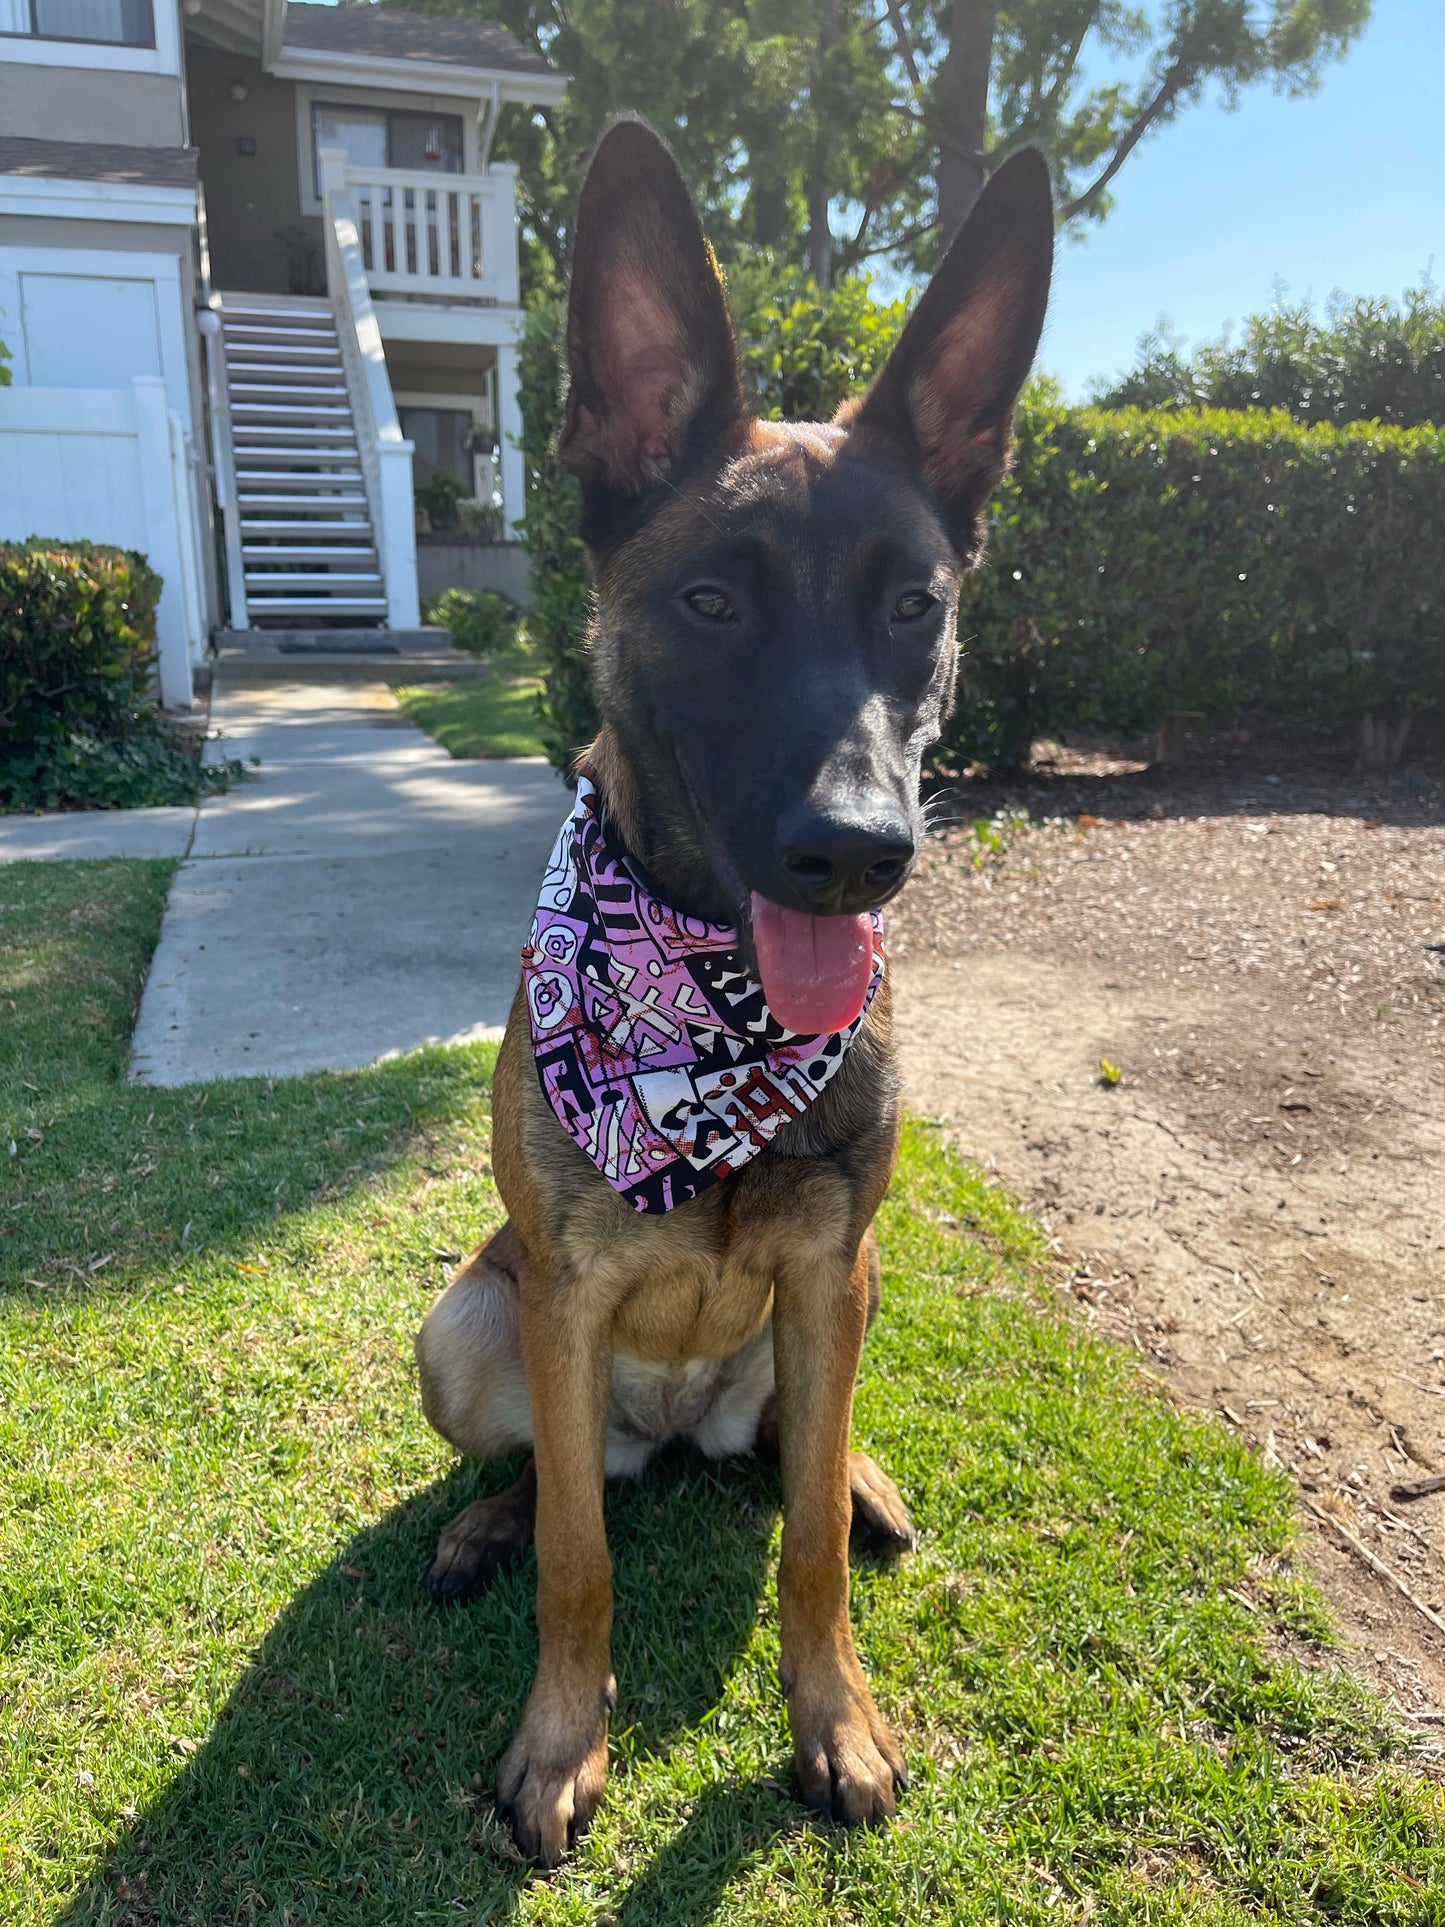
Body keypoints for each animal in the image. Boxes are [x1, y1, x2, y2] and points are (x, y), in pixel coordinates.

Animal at [416, 120, 1055, 1865]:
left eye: (914, 605)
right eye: (711, 601)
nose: (861, 849)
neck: (701, 1025)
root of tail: (675, 1426)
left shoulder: (835, 1264)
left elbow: (807, 1549)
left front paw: (832, 1720)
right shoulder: (561, 1293)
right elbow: (582, 1559)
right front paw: (560, 1742)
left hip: (847, 1301)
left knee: (789, 1458)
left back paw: (852, 1475)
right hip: (469, 1324)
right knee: (564, 1475)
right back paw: (486, 1520)